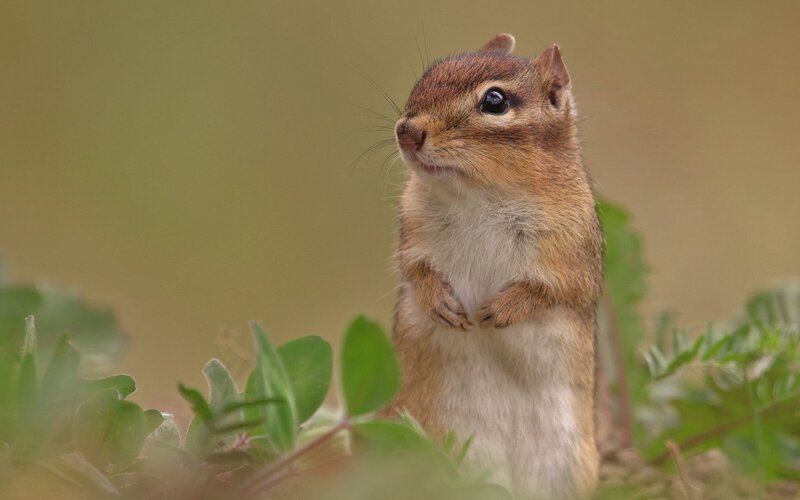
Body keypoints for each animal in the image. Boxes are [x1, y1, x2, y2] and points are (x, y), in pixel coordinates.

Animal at [386, 34, 603, 499]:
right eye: (428, 74)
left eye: (495, 101)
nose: (406, 131)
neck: (482, 193)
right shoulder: (412, 235)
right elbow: (415, 271)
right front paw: (440, 304)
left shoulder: (574, 259)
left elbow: (553, 290)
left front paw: (500, 310)